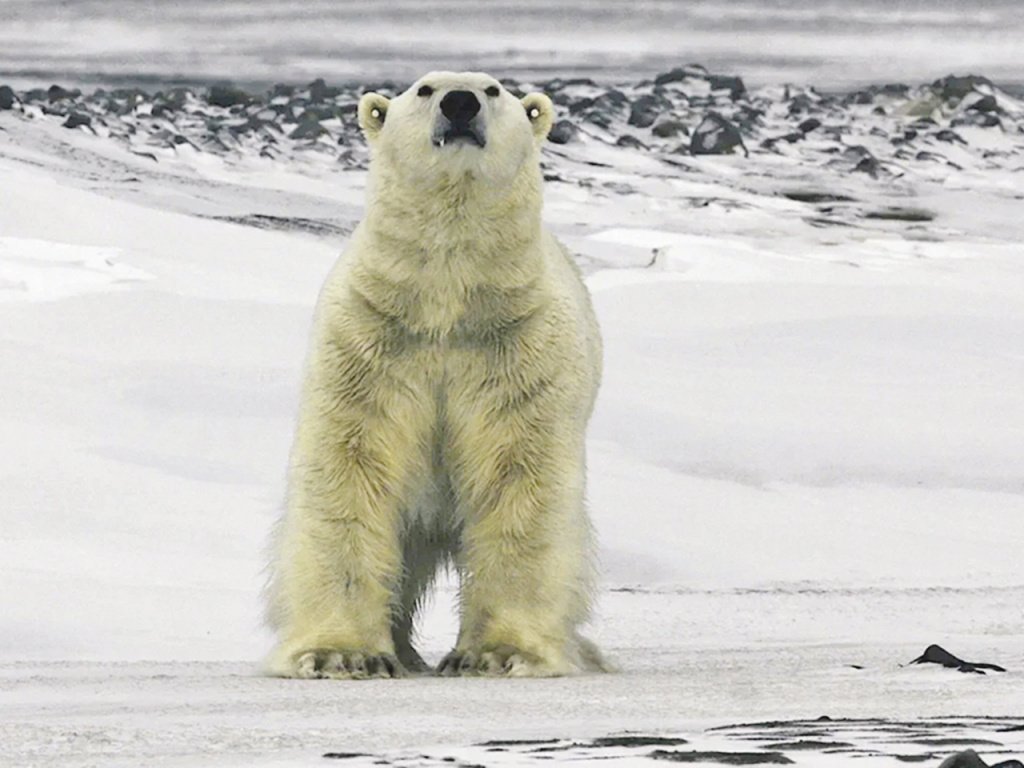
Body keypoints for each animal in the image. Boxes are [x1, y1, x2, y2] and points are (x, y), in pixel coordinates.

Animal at [264, 71, 607, 679]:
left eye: (493, 90)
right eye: (424, 89)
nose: (460, 103)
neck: (446, 304)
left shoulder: (518, 350)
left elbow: (522, 481)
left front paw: (498, 653)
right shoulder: (372, 345)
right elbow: (348, 474)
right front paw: (340, 653)